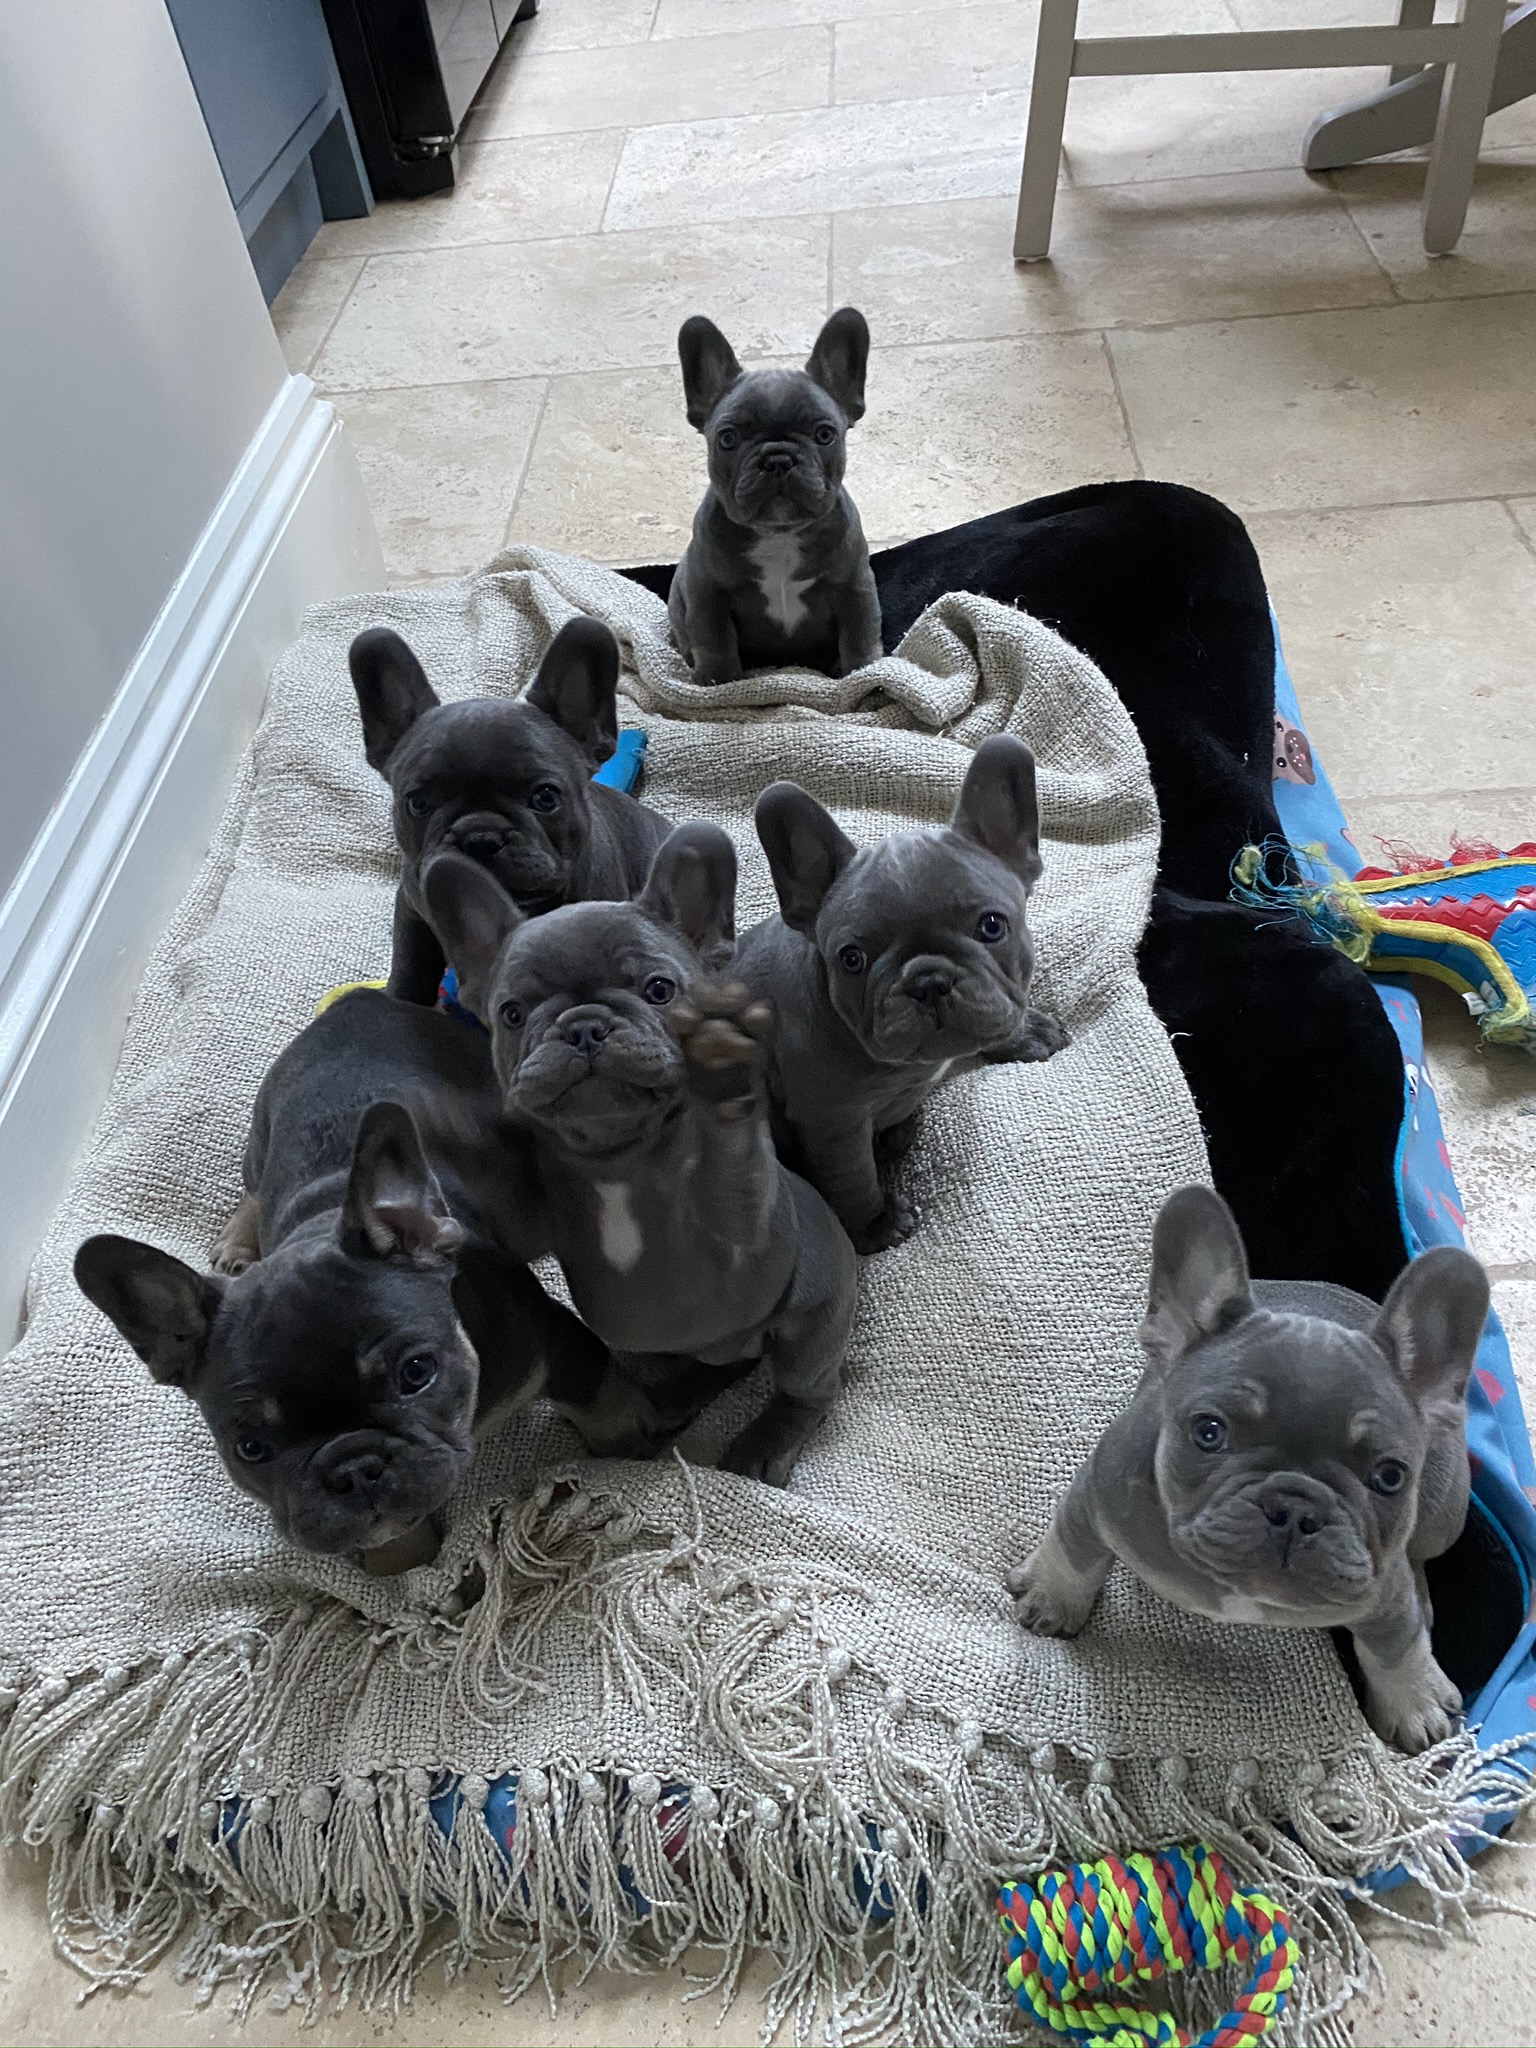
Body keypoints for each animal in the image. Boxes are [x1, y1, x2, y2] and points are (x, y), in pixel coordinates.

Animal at [75, 983, 626, 1572]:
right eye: (251, 1449)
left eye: (416, 1373)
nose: (353, 1469)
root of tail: (359, 1000)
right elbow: (389, 1537)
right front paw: (403, 1567)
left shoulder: (555, 1347)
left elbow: (607, 1411)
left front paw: (638, 1456)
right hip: (261, 1134)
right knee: (253, 1187)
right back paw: (237, 1244)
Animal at [352, 622, 671, 1007]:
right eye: (417, 803)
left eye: (546, 797)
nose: (479, 837)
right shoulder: (413, 910)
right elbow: (411, 963)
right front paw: (402, 999)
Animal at [667, 305, 884, 688]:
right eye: (727, 439)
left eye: (825, 434)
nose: (778, 459)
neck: (780, 534)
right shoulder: (707, 592)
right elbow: (714, 638)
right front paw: (718, 682)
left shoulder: (854, 587)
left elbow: (860, 636)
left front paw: (861, 675)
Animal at [1011, 1187, 1490, 1761]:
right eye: (1208, 1432)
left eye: (1390, 1476)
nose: (1296, 1508)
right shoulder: (1099, 1496)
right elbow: (1075, 1550)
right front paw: (1051, 1596)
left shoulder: (1383, 1589)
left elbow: (1396, 1642)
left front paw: (1413, 1701)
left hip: (1444, 1512)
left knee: (1419, 1559)